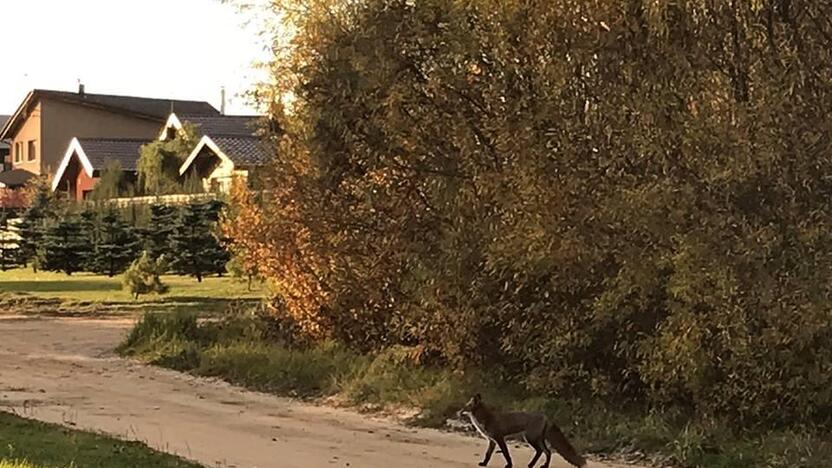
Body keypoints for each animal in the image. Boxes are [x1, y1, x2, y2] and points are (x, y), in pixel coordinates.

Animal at [458, 394, 588, 468]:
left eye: (466, 406)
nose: (458, 411)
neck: (487, 418)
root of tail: (546, 416)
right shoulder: (492, 441)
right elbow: (488, 454)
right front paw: (484, 464)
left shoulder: (500, 438)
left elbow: (506, 454)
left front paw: (509, 465)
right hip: (537, 439)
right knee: (548, 452)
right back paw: (542, 466)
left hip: (530, 439)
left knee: (541, 451)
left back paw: (532, 465)